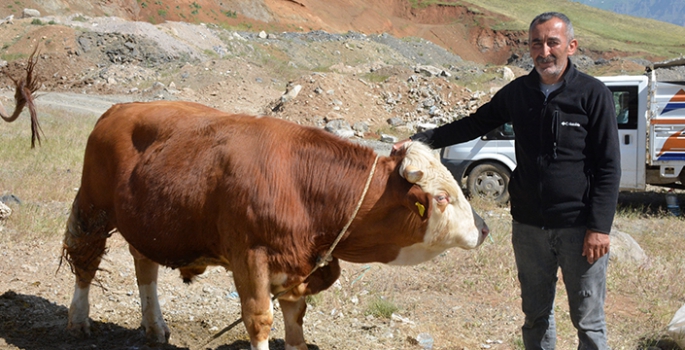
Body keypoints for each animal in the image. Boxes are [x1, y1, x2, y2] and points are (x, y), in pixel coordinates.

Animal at [61, 100, 488, 348]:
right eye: (442, 197)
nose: (483, 229)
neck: (302, 183)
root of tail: (121, 107)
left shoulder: (297, 266)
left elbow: (295, 323)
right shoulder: (250, 256)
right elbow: (259, 319)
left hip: (148, 223)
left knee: (144, 265)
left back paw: (154, 326)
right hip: (93, 207)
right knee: (85, 261)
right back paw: (78, 320)